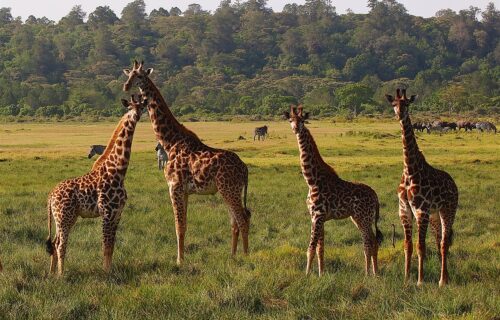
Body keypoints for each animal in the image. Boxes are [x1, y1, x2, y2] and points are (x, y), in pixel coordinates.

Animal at [45, 94, 147, 276]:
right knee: (60, 244)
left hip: (64, 218)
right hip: (64, 217)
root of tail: (50, 195)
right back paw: (61, 275)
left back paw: (51, 273)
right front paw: (106, 273)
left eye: (142, 107)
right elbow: (105, 245)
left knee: (55, 243)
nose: (135, 115)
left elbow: (111, 246)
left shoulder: (117, 213)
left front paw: (110, 270)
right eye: (129, 107)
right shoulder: (107, 212)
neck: (118, 171)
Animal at [121, 60, 250, 264]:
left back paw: (246, 256)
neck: (170, 141)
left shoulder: (174, 187)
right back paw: (233, 255)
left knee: (242, 218)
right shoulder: (186, 191)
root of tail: (245, 169)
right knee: (235, 221)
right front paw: (182, 258)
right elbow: (185, 225)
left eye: (140, 76)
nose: (126, 86)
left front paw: (179, 261)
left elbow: (178, 226)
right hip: (229, 190)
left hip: (229, 189)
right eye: (128, 75)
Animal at [282, 106, 382, 276]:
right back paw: (374, 273)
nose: (296, 129)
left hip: (364, 217)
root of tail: (375, 196)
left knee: (369, 242)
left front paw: (306, 275)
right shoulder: (316, 217)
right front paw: (321, 274)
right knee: (373, 241)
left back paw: (369, 274)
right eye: (290, 120)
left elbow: (310, 248)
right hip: (357, 218)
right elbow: (320, 249)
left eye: (302, 120)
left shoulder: (318, 215)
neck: (312, 180)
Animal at [384, 89, 458, 286]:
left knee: (444, 243)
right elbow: (407, 246)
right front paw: (406, 278)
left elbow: (420, 246)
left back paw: (442, 281)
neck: (409, 170)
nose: (399, 115)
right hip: (434, 215)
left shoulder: (421, 211)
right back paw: (447, 277)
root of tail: (454, 183)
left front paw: (420, 280)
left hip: (448, 210)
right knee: (440, 241)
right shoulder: (405, 211)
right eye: (393, 104)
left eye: (407, 103)